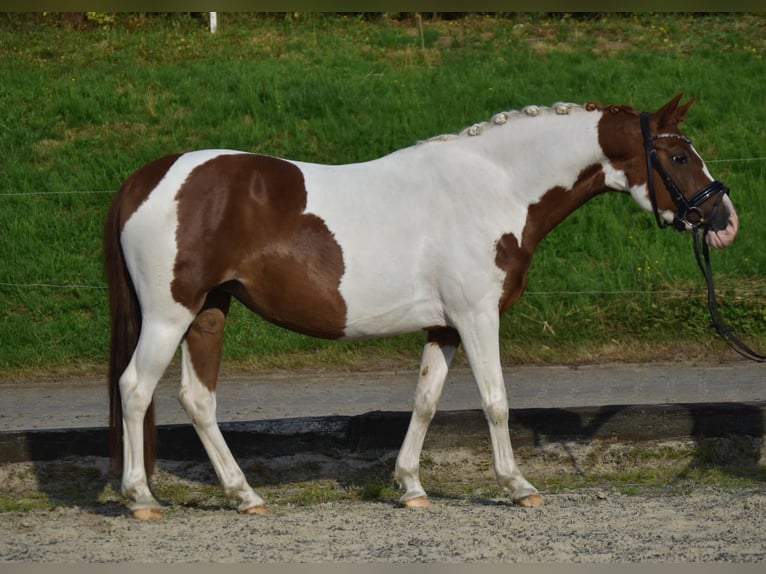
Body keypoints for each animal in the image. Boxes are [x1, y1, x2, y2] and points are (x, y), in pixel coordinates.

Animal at [105, 95, 740, 520]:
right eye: (679, 157)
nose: (724, 221)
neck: (495, 188)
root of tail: (148, 177)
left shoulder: (446, 326)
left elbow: (426, 402)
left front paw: (410, 487)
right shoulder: (478, 317)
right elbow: (495, 402)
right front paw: (518, 486)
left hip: (209, 313)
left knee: (198, 398)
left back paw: (245, 495)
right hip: (170, 314)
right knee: (135, 388)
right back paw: (141, 498)